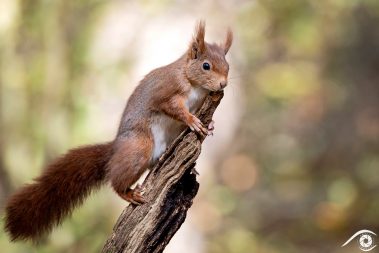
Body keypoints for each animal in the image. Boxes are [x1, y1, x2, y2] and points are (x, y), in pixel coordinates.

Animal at [4, 20, 233, 241]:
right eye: (206, 66)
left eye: (227, 66)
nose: (223, 83)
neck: (194, 83)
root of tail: (116, 148)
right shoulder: (167, 91)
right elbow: (173, 108)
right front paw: (192, 120)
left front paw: (210, 124)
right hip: (140, 146)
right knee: (116, 181)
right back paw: (129, 194)